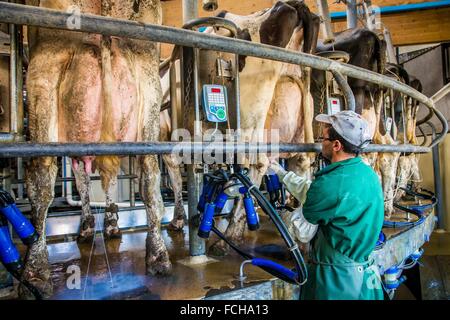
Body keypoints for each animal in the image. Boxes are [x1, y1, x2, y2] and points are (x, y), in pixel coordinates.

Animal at [22, 0, 169, 300]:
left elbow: (82, 182)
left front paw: (89, 225)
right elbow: (100, 180)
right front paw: (109, 221)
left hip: (43, 76)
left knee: (41, 182)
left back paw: (36, 272)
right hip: (150, 88)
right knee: (149, 177)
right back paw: (158, 255)